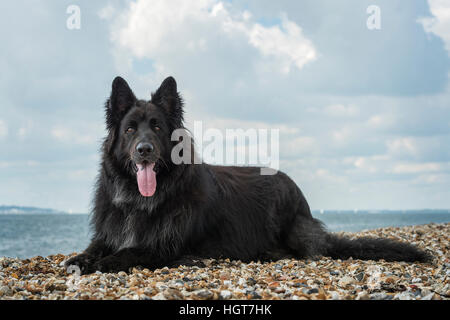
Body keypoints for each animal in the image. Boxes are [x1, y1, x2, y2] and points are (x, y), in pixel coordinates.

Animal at [65, 76, 430, 274]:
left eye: (156, 127)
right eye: (129, 129)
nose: (144, 150)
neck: (140, 200)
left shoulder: (161, 248)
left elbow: (125, 253)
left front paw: (103, 263)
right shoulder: (110, 232)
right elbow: (93, 249)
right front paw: (79, 260)